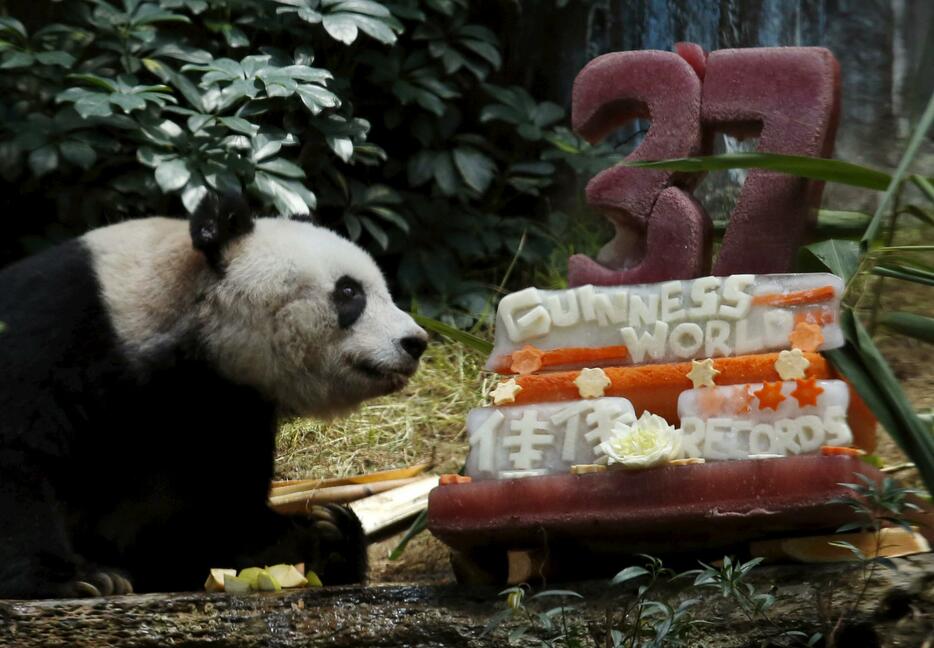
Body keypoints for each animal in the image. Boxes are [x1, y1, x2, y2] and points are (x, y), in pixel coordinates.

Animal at [0, 196, 430, 596]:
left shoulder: (226, 405)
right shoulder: (60, 329)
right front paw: (75, 579)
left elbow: (213, 520)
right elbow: (18, 452)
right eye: (348, 291)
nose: (416, 342)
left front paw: (330, 537)